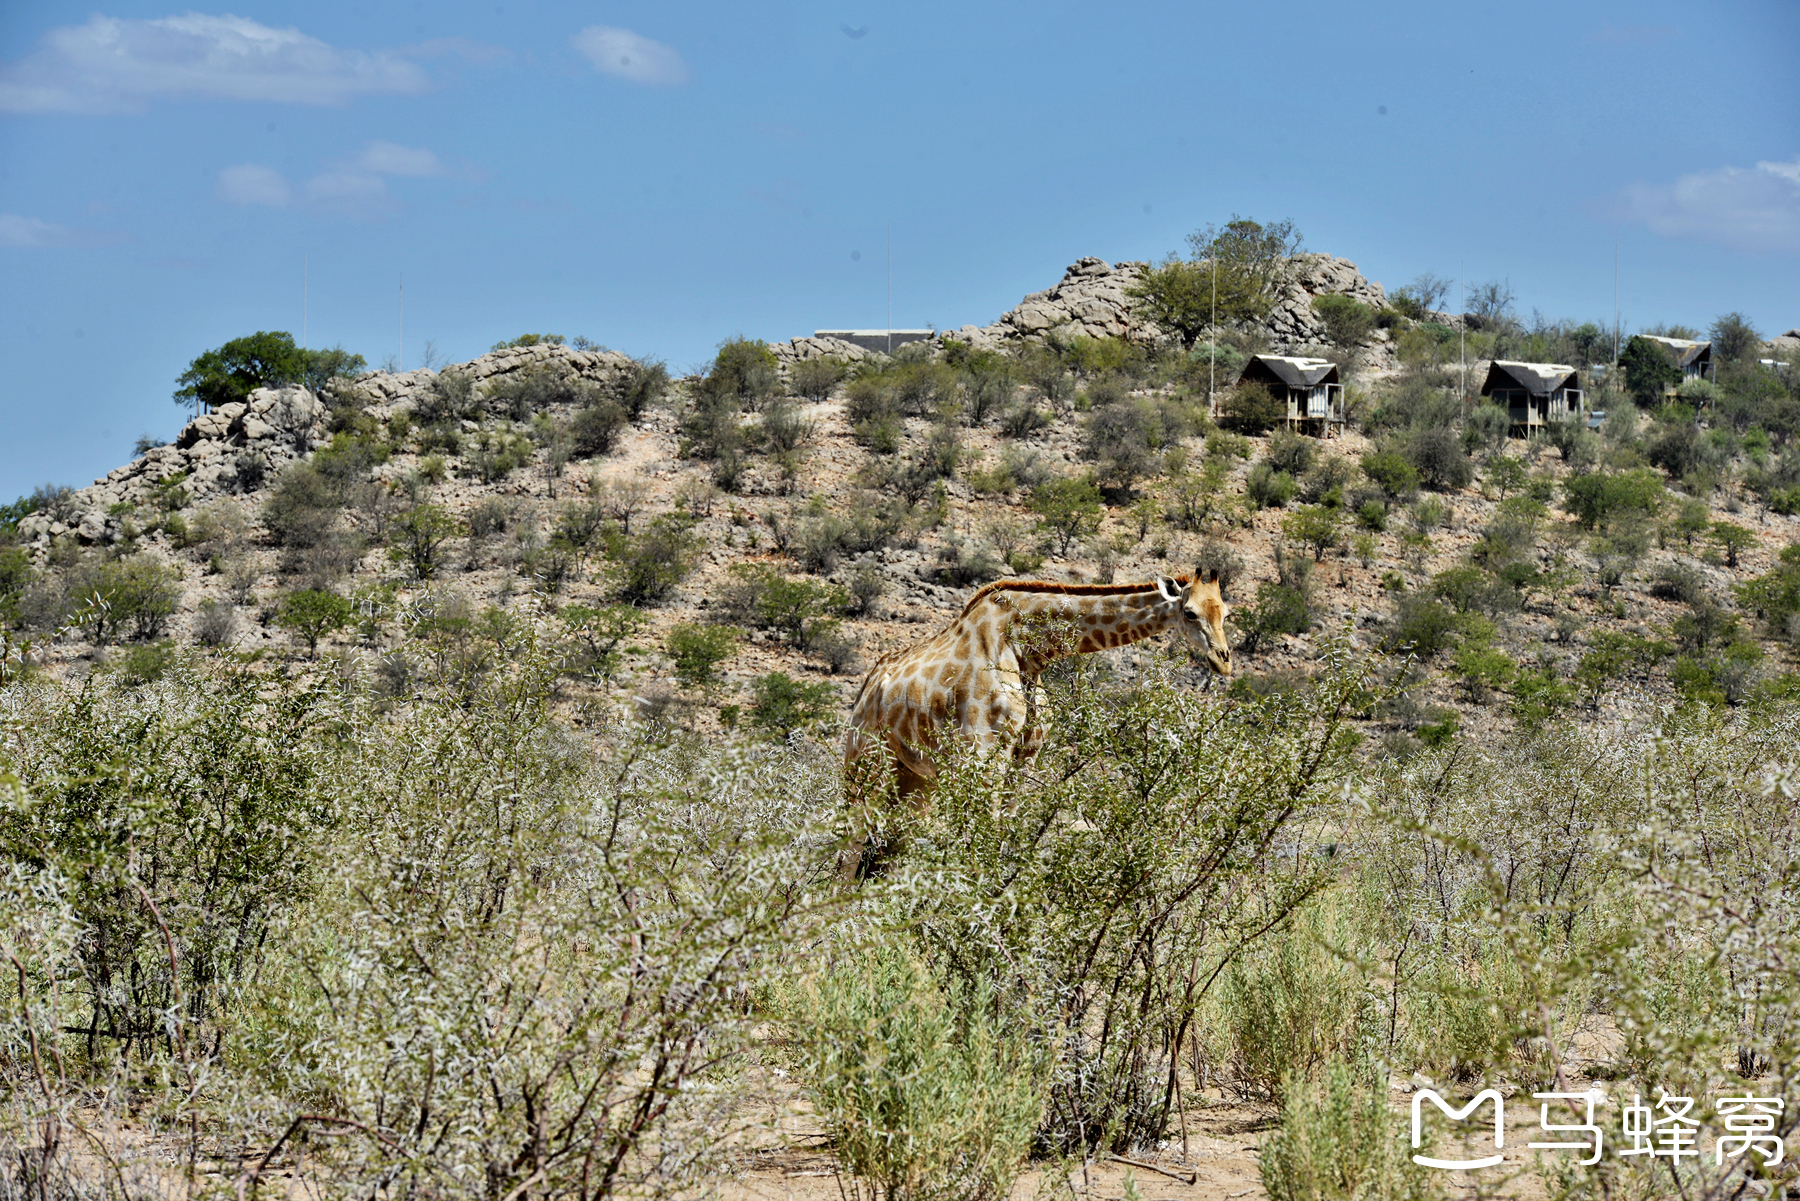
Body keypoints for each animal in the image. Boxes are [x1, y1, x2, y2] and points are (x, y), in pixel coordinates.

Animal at [835, 572, 1231, 875]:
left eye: (1226, 613)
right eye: (1190, 613)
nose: (1223, 661)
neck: (1030, 650)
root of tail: (867, 687)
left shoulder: (1024, 757)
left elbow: (1001, 837)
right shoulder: (983, 754)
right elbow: (980, 838)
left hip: (914, 776)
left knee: (889, 848)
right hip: (864, 760)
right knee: (849, 843)